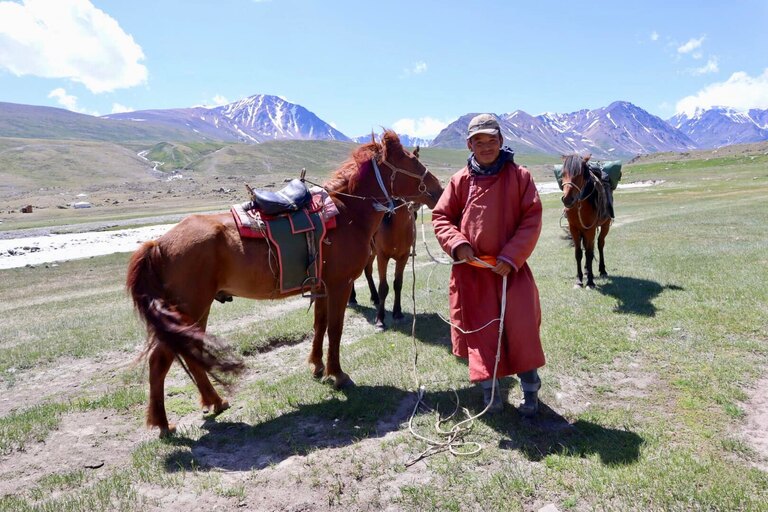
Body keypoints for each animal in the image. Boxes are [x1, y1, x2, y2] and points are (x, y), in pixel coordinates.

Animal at [350, 200, 416, 332]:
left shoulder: (403, 257)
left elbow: (398, 284)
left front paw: (398, 313)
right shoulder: (382, 257)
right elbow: (384, 287)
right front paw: (380, 321)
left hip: (371, 253)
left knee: (368, 271)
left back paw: (375, 297)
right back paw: (352, 298)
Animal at [560, 152, 612, 288]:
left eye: (579, 174)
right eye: (562, 174)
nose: (567, 199)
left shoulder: (591, 228)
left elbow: (589, 253)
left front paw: (590, 282)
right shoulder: (574, 228)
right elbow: (578, 253)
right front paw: (579, 280)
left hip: (605, 225)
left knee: (599, 244)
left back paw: (602, 270)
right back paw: (586, 271)